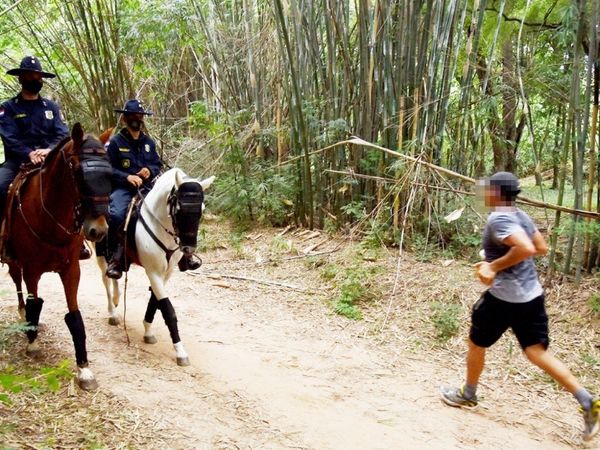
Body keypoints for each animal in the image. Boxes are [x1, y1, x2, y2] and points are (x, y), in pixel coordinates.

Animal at [5, 123, 112, 390]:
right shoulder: (32, 268)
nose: (98, 230)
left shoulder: (71, 268)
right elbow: (35, 302)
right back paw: (23, 315)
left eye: (110, 174)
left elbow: (74, 317)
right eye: (79, 173)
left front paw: (84, 369)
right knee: (17, 282)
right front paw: (32, 342)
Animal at [96, 168, 213, 366]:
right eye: (179, 209)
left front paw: (148, 331)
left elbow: (155, 301)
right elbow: (168, 310)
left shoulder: (166, 272)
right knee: (105, 280)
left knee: (114, 279)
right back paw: (112, 312)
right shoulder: (153, 271)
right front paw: (180, 351)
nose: (188, 249)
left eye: (202, 210)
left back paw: (117, 297)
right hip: (98, 252)